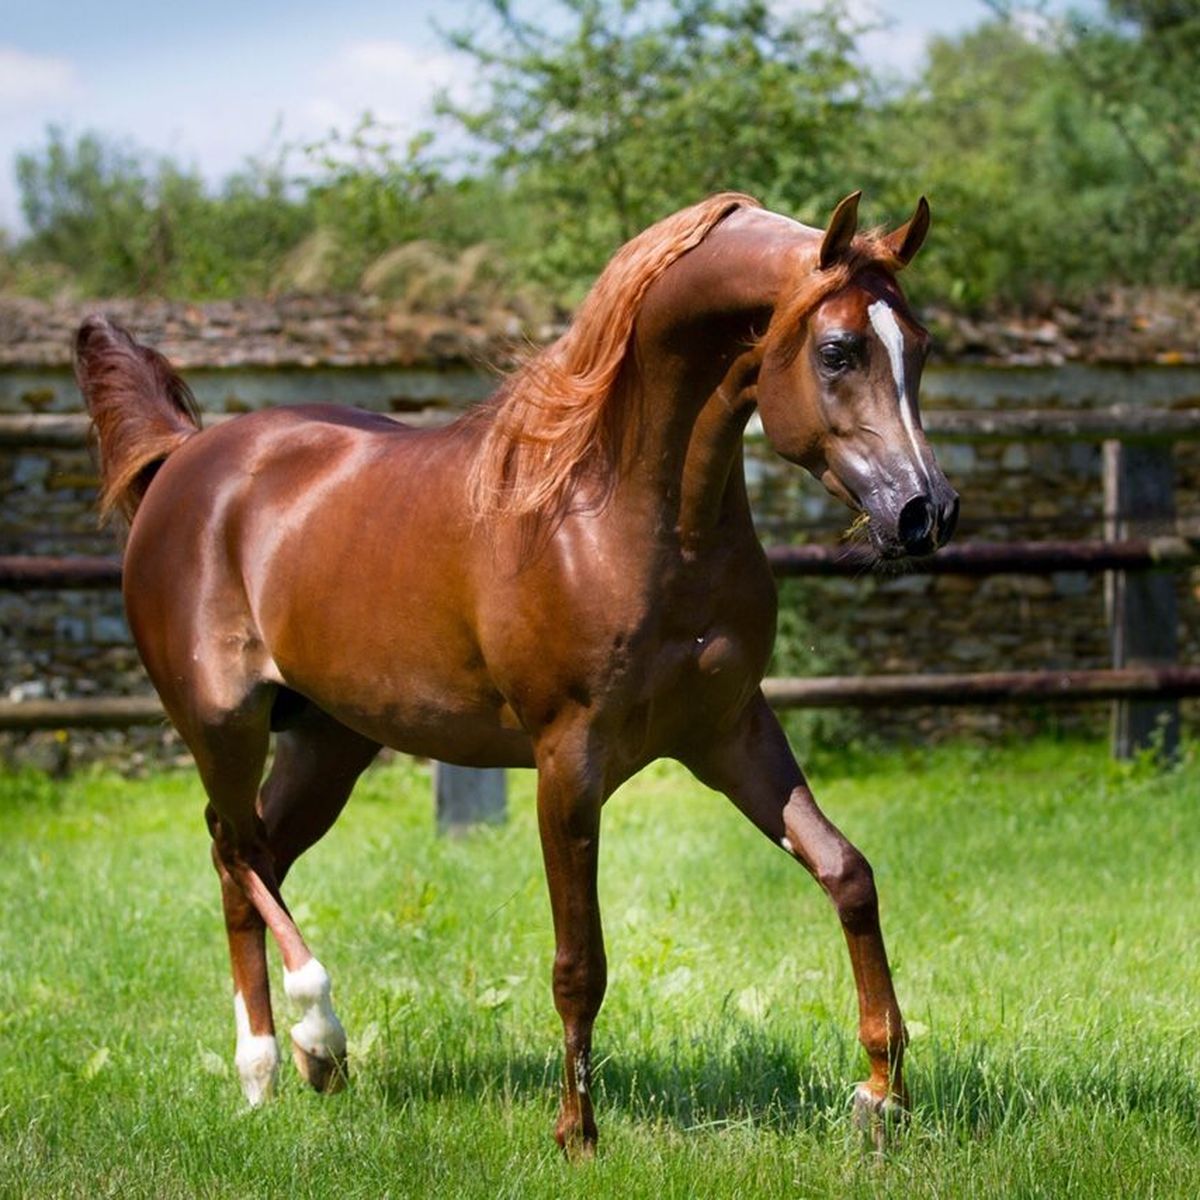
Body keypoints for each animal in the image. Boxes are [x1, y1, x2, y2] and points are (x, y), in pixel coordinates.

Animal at [75, 194, 955, 1152]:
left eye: (920, 345)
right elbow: (580, 962)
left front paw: (883, 1094)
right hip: (222, 722)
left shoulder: (729, 733)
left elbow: (847, 873)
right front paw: (577, 1135)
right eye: (838, 350)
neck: (619, 515)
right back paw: (294, 1045)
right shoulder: (568, 758)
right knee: (234, 849)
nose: (926, 512)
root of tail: (186, 458)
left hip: (329, 743)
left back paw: (294, 1066)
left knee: (255, 858)